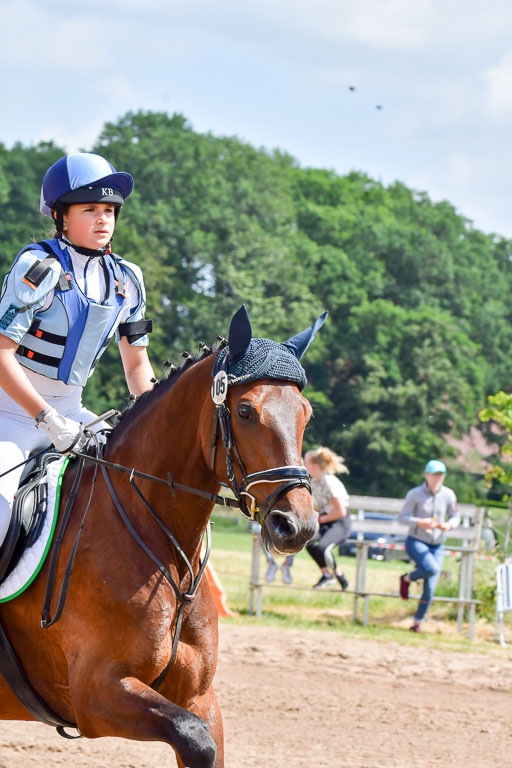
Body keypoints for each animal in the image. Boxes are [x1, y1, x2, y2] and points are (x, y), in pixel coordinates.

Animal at [0, 305, 325, 768]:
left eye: (306, 413)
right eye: (245, 411)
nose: (296, 526)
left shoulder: (199, 697)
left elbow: (205, 740)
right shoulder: (97, 694)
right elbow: (195, 739)